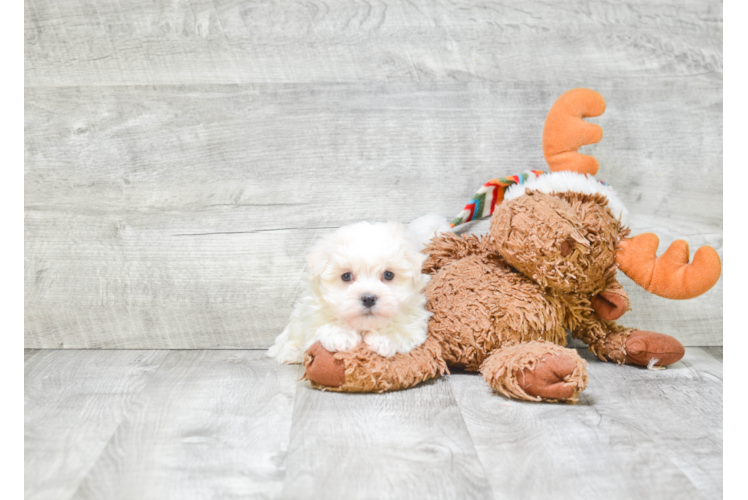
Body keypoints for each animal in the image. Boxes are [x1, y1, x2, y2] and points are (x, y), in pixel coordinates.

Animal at [268, 217, 448, 366]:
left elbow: (401, 328)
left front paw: (384, 338)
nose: (368, 298)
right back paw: (290, 352)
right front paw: (341, 334)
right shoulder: (312, 313)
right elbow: (324, 322)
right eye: (346, 276)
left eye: (388, 275)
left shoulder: (415, 322)